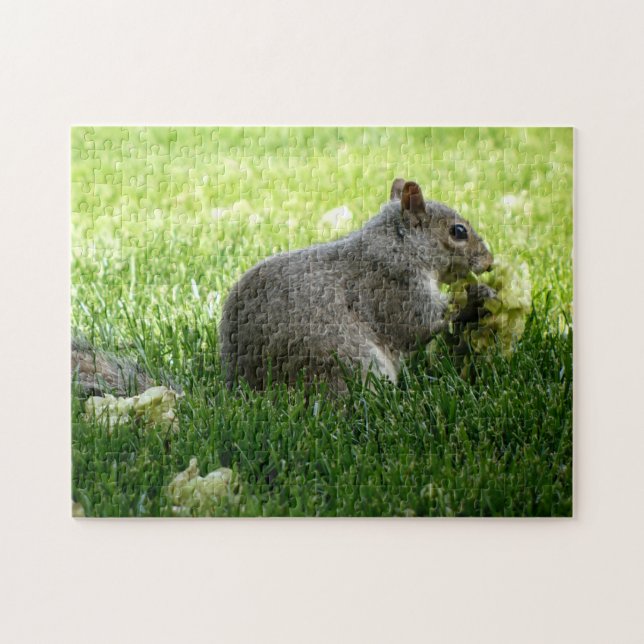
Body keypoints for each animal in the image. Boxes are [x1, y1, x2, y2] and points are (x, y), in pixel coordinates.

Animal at [219, 179, 494, 391]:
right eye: (458, 231)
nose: (490, 262)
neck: (401, 246)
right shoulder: (394, 285)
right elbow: (419, 325)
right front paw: (477, 297)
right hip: (341, 361)